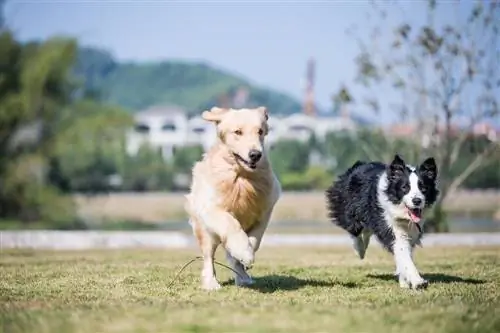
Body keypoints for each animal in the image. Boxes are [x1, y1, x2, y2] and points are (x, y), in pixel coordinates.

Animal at [324, 154, 438, 288]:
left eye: (423, 188)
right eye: (405, 188)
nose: (417, 201)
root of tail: (358, 165)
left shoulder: (410, 231)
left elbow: (404, 255)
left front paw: (404, 282)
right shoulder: (390, 225)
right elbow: (404, 254)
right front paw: (418, 281)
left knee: (366, 229)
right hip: (348, 206)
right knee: (354, 228)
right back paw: (360, 250)